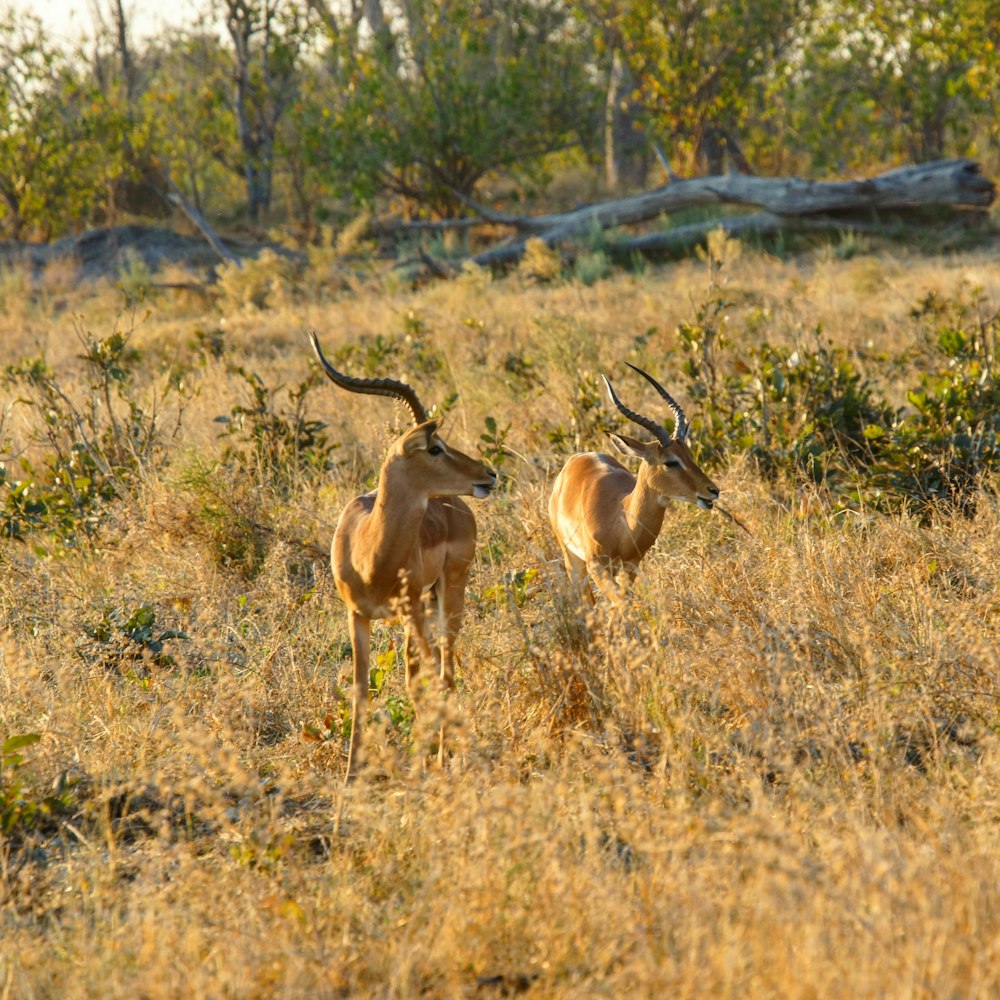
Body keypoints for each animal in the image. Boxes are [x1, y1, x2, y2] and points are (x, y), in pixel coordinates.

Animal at [310, 332, 498, 784]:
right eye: (435, 448)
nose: (488, 475)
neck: (370, 555)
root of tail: (455, 504)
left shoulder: (409, 610)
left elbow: (426, 683)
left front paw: (426, 762)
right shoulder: (356, 615)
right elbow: (361, 690)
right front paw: (351, 774)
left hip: (446, 597)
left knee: (444, 672)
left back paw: (440, 756)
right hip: (424, 608)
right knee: (428, 676)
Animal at [548, 366, 720, 604]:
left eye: (689, 455)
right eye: (670, 462)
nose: (713, 490)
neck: (621, 524)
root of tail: (577, 458)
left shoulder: (630, 568)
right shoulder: (597, 567)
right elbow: (621, 604)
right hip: (572, 558)